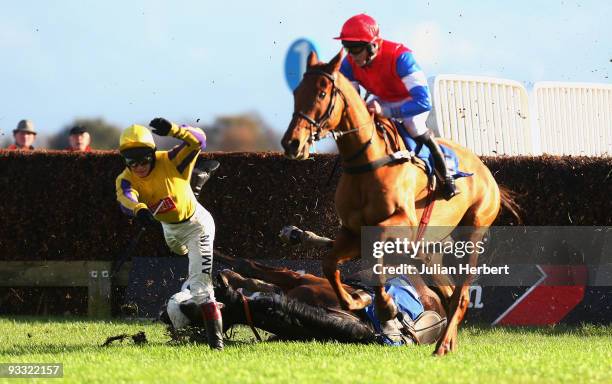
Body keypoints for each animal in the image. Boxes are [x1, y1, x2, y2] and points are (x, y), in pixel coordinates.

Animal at [284, 51, 512, 356]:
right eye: (297, 92)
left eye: (322, 93)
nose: (292, 142)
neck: (368, 163)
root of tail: (485, 170)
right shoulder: (352, 231)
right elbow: (329, 264)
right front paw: (357, 301)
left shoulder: (403, 224)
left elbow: (377, 247)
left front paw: (386, 308)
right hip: (428, 254)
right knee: (450, 295)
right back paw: (447, 341)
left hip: (472, 233)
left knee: (461, 295)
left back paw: (442, 345)